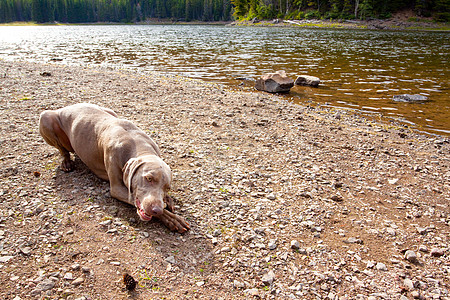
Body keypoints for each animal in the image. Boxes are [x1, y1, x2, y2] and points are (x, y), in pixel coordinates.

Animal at [39, 102, 191, 233]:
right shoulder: (117, 187)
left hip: (110, 111)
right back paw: (66, 163)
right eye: (148, 178)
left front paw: (168, 201)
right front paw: (171, 218)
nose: (157, 210)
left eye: (167, 187)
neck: (138, 145)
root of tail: (68, 106)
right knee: (63, 150)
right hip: (45, 117)